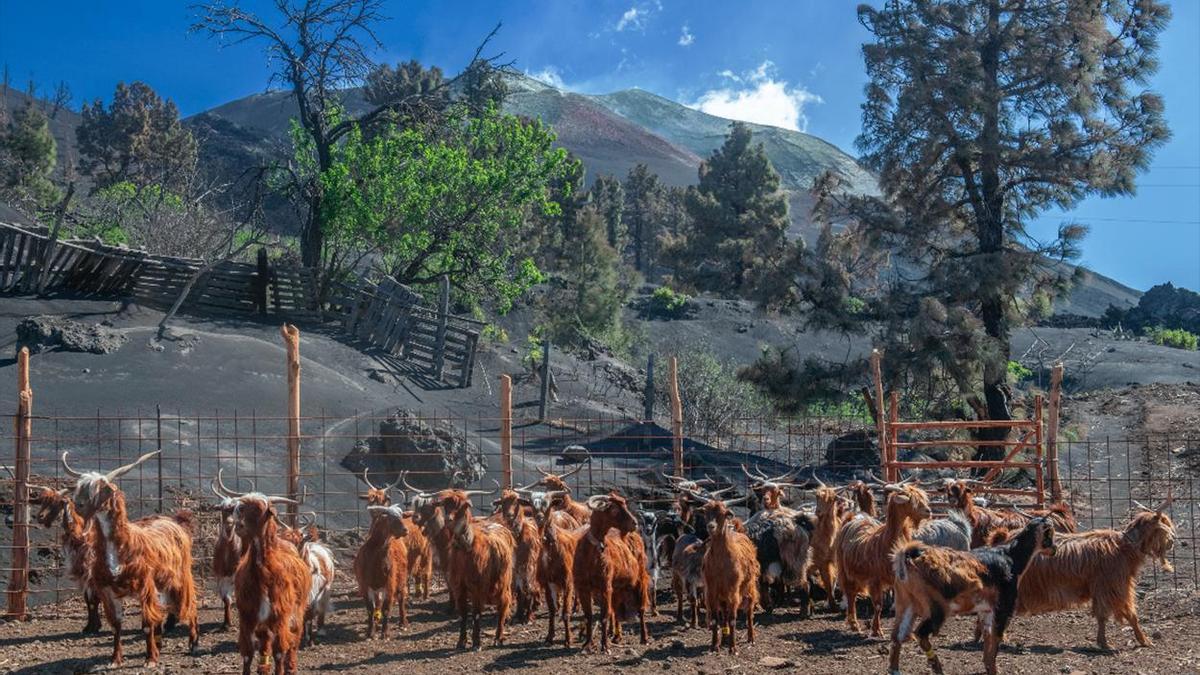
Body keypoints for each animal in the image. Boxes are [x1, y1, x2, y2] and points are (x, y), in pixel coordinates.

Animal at [62, 449, 198, 662]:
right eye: (79, 489)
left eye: (98, 490)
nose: (76, 505)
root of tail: (175, 521)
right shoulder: (109, 591)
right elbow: (117, 625)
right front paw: (115, 659)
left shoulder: (144, 587)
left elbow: (146, 624)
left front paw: (150, 659)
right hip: (162, 583)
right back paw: (160, 643)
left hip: (180, 577)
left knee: (190, 605)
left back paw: (193, 643)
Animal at [568, 487, 648, 653]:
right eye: (614, 510)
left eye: (624, 504)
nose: (634, 523)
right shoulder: (584, 588)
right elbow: (589, 616)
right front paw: (587, 644)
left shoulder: (605, 587)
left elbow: (604, 616)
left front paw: (604, 646)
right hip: (617, 588)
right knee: (616, 612)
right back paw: (616, 636)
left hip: (640, 579)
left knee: (641, 609)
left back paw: (644, 638)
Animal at [835, 480, 926, 634]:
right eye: (912, 500)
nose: (929, 511)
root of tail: (853, 518)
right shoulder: (875, 579)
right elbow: (878, 605)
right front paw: (877, 630)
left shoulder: (898, 577)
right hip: (845, 570)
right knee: (850, 594)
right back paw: (854, 624)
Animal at [1017, 502, 1176, 648]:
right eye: (1163, 525)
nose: (1172, 541)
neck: (1124, 547)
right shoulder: (1114, 587)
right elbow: (1130, 615)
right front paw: (1143, 641)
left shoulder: (1104, 588)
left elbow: (1103, 615)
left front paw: (1103, 642)